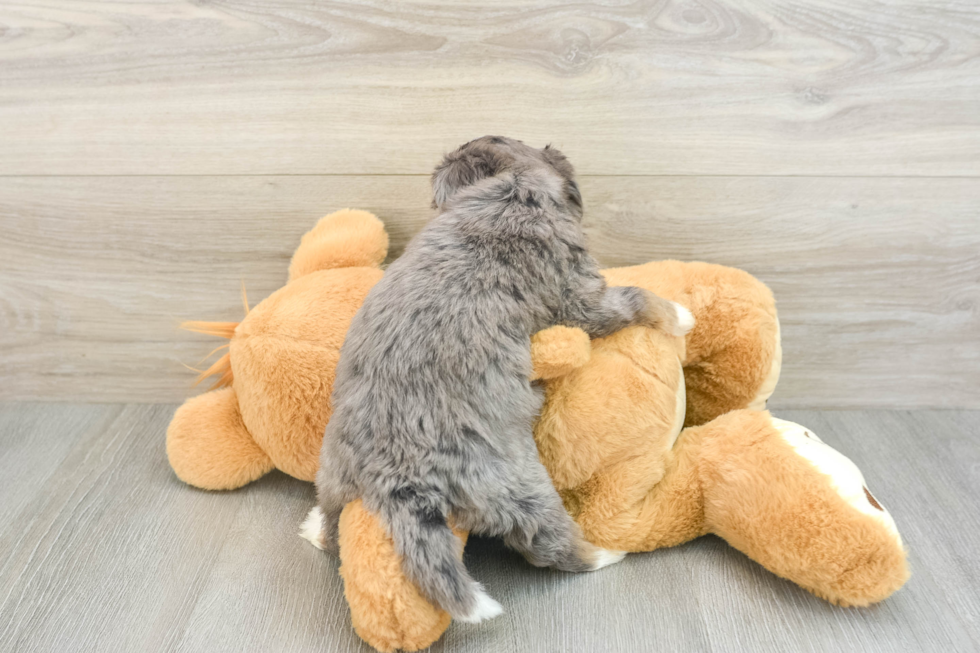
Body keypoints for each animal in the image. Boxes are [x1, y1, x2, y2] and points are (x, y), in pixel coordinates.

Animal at [302, 136, 692, 620]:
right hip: (519, 486)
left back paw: (314, 528)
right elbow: (637, 299)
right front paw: (681, 316)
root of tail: (393, 477)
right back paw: (604, 553)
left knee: (332, 527)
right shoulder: (580, 298)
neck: (511, 187)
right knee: (547, 544)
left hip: (333, 479)